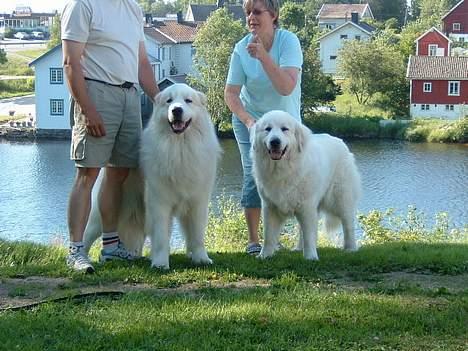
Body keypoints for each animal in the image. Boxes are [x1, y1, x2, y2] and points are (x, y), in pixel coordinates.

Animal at [82, 84, 221, 270]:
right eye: (169, 101)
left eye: (188, 101)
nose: (176, 110)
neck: (179, 148)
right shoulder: (160, 203)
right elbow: (161, 236)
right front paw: (160, 263)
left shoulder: (197, 202)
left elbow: (197, 234)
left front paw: (201, 258)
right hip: (100, 215)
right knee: (88, 234)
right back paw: (82, 259)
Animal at [252, 110, 362, 262]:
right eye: (267, 129)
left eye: (284, 129)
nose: (274, 142)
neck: (283, 170)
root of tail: (339, 141)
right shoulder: (270, 207)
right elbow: (268, 235)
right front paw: (264, 256)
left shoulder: (307, 207)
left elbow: (309, 234)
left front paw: (310, 257)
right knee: (301, 230)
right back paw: (298, 248)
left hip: (341, 198)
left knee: (348, 223)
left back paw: (350, 248)